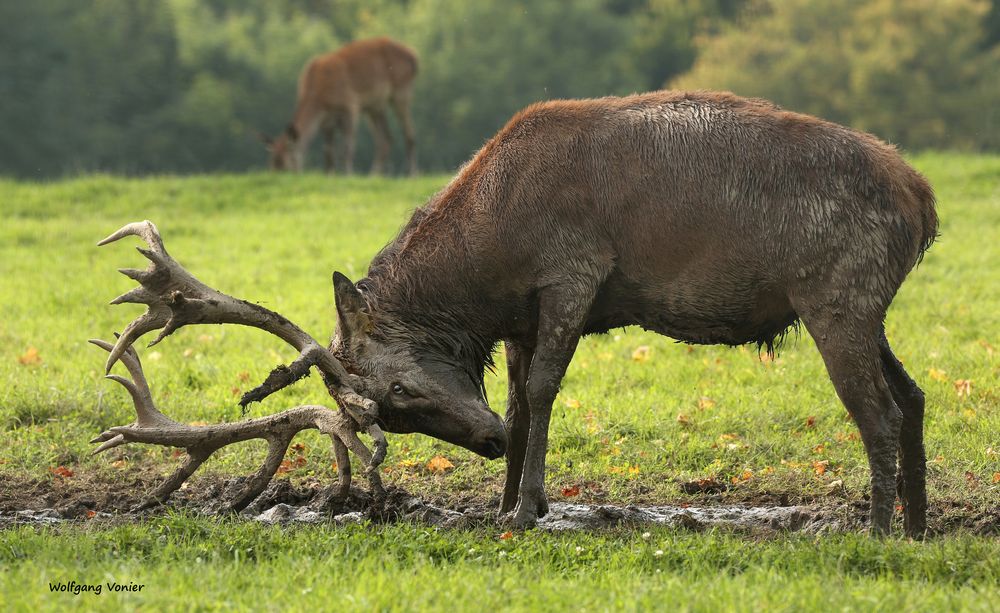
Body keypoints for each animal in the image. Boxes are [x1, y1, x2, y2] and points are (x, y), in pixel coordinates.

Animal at [264, 37, 416, 175]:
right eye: (272, 163)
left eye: (286, 164)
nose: (280, 175)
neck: (320, 97)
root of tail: (414, 57)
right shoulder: (326, 119)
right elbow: (328, 150)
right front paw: (329, 174)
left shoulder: (350, 105)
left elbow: (347, 147)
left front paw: (348, 174)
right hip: (375, 105)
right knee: (386, 139)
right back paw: (374, 175)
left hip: (402, 91)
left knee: (408, 134)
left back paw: (412, 174)